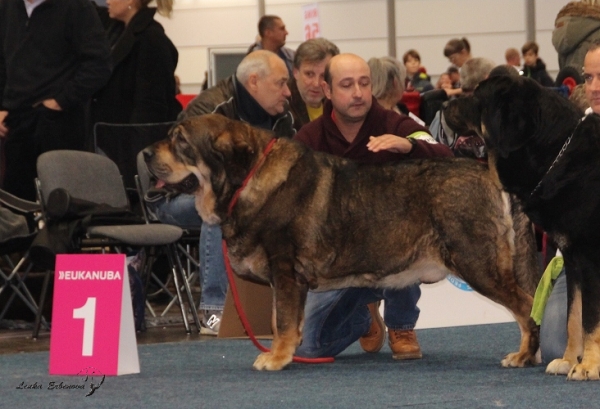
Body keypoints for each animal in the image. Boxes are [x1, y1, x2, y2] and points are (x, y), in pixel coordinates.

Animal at [146, 113, 544, 372]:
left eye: (180, 141)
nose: (146, 154)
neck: (247, 178)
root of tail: (487, 173)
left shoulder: (285, 271)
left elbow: (284, 321)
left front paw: (276, 357)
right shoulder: (284, 279)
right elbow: (279, 321)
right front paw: (283, 351)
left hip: (479, 264)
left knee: (527, 308)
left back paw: (525, 355)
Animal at [442, 75, 600, 380]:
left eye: (477, 96)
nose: (444, 104)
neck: (556, 155)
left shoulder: (589, 258)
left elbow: (590, 320)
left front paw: (588, 365)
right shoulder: (573, 258)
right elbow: (573, 317)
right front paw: (568, 360)